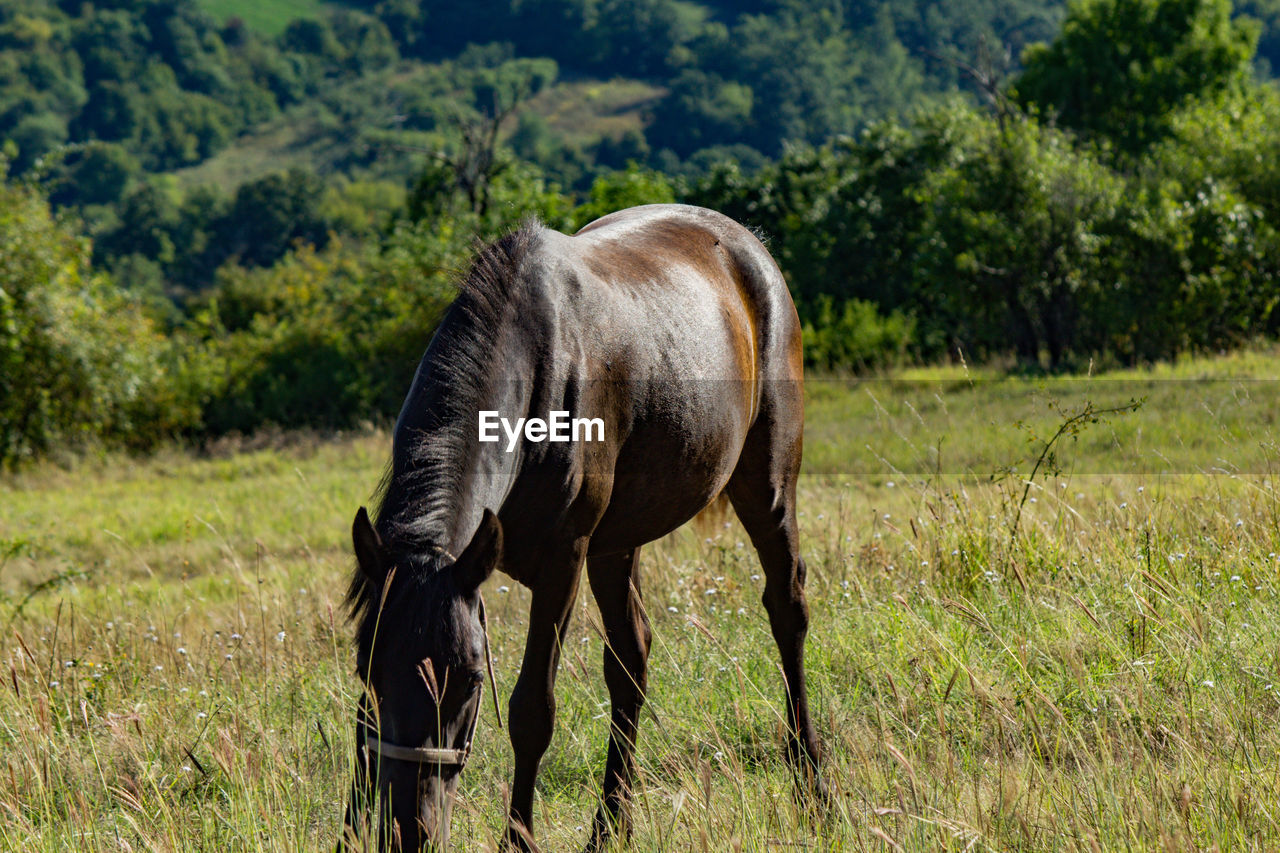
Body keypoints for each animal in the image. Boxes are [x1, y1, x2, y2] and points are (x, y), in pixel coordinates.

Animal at [340, 202, 819, 845]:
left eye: (470, 679)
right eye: (369, 667)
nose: (409, 829)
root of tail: (748, 246)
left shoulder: (562, 562)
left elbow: (532, 712)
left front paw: (517, 840)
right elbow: (362, 730)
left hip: (766, 489)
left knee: (786, 610)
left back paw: (813, 788)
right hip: (619, 544)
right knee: (632, 659)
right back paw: (611, 827)